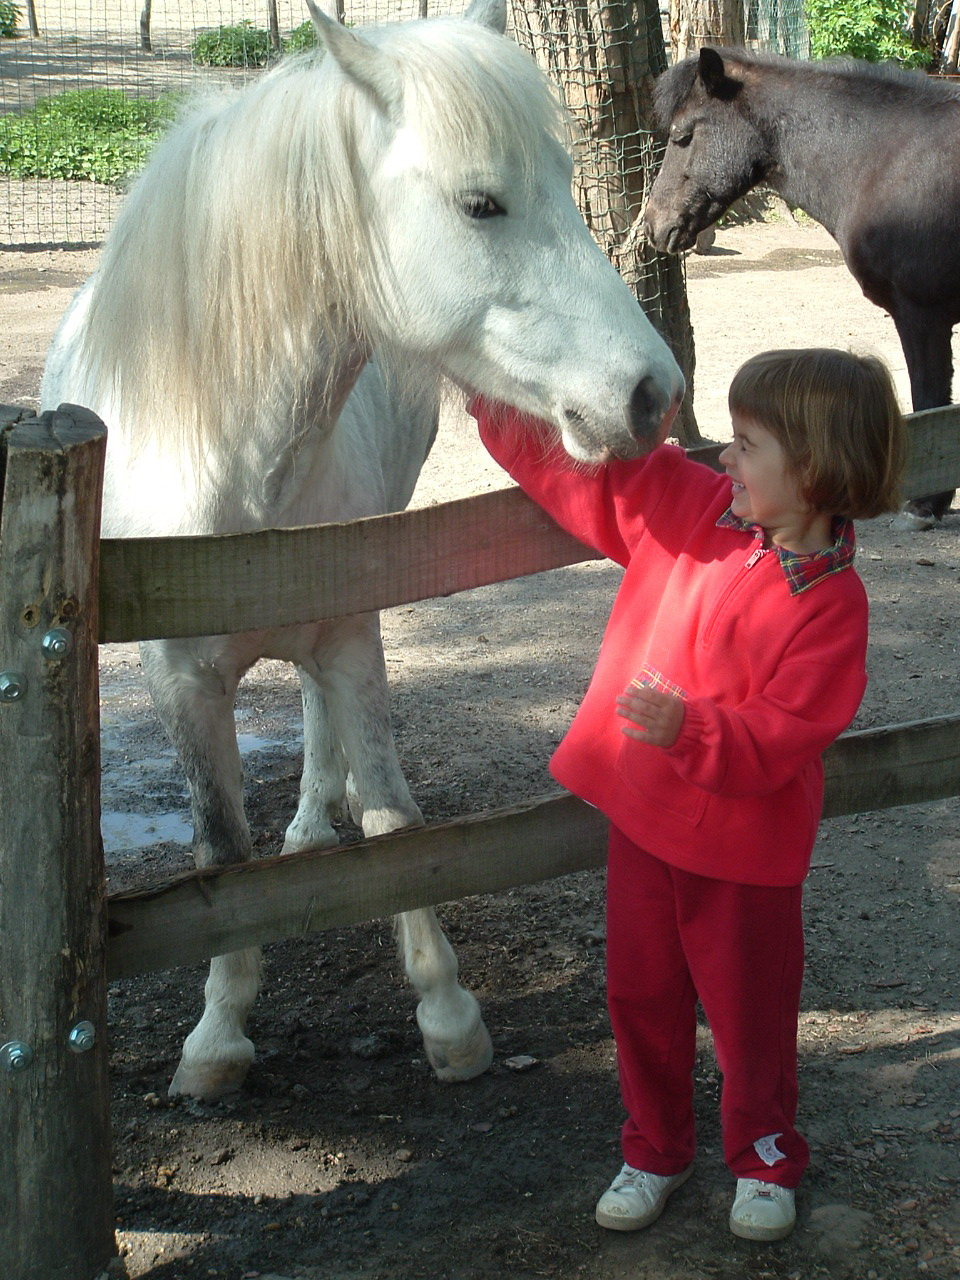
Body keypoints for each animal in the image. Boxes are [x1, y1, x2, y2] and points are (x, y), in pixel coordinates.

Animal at [39, 0, 686, 1100]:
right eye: (481, 203)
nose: (654, 393)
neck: (231, 473)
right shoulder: (179, 680)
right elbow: (222, 852)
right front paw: (217, 1035)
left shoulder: (350, 633)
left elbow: (391, 824)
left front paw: (449, 1016)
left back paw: (312, 825)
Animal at [647, 48, 960, 529]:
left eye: (684, 135)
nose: (653, 225)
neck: (885, 160)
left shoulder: (922, 316)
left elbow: (932, 404)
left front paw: (926, 505)